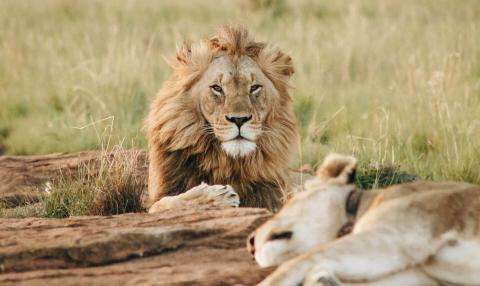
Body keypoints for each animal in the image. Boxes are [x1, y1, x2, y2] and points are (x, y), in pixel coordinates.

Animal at [144, 26, 298, 212]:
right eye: (217, 88)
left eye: (254, 87)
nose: (239, 119)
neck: (227, 162)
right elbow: (165, 203)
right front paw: (217, 196)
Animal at [248, 154, 480, 286]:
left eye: (288, 201)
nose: (250, 241)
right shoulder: (419, 275)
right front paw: (324, 280)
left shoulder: (396, 236)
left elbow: (293, 265)